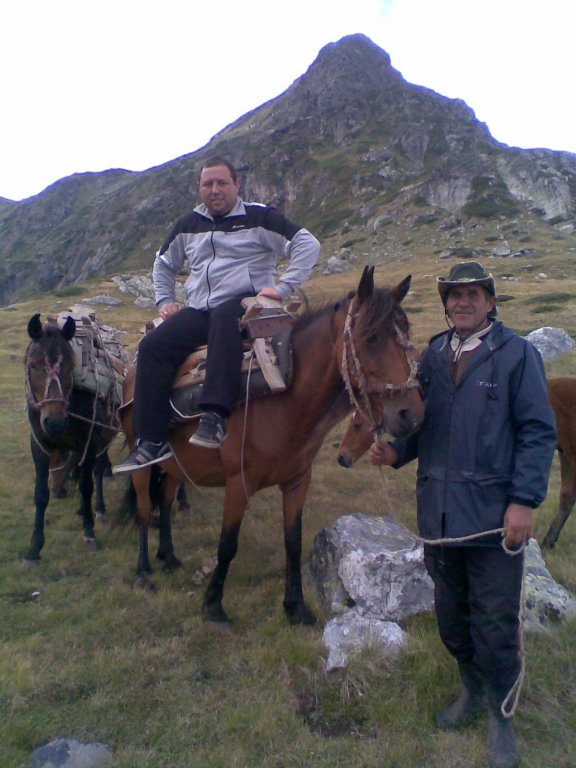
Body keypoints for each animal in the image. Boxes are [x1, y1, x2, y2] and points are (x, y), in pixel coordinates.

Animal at [24, 313, 119, 561]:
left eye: (69, 365)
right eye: (33, 365)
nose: (54, 422)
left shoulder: (89, 441)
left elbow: (87, 486)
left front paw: (89, 534)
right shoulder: (39, 445)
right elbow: (40, 494)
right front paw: (34, 549)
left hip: (102, 438)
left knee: (96, 472)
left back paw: (98, 510)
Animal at [118, 267, 425, 626]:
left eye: (406, 333)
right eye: (371, 337)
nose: (410, 414)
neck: (285, 394)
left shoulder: (296, 482)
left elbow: (293, 541)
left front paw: (296, 607)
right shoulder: (238, 484)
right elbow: (227, 544)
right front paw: (213, 605)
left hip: (176, 464)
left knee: (165, 502)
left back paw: (167, 557)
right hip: (143, 463)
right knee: (143, 509)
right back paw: (144, 572)